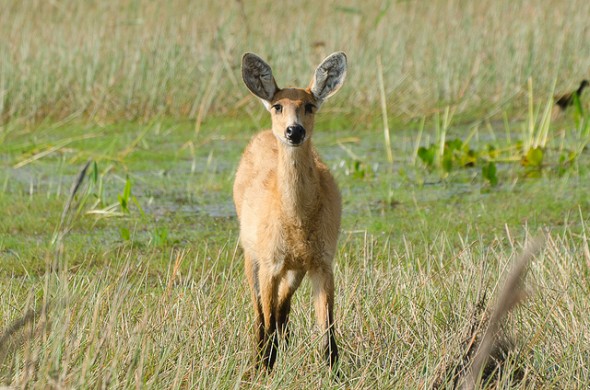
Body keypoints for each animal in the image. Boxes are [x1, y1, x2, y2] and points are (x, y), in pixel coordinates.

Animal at [235, 52, 350, 372]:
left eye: (309, 106)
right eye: (278, 106)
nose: (294, 131)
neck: (296, 220)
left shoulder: (322, 262)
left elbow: (329, 336)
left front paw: (335, 374)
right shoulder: (270, 262)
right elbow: (266, 320)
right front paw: (264, 368)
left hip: (297, 268)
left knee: (282, 306)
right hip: (251, 255)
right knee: (260, 314)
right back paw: (260, 356)